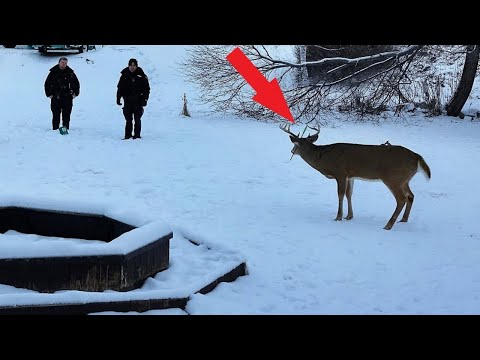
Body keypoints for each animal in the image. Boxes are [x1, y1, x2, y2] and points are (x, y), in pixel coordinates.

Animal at [280, 124, 434, 231]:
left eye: (296, 144)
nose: (291, 151)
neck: (324, 159)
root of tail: (417, 157)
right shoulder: (350, 176)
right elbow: (349, 194)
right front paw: (349, 216)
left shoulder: (340, 173)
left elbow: (340, 194)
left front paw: (338, 217)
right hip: (404, 179)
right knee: (411, 196)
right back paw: (403, 220)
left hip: (393, 178)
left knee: (401, 199)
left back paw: (388, 225)